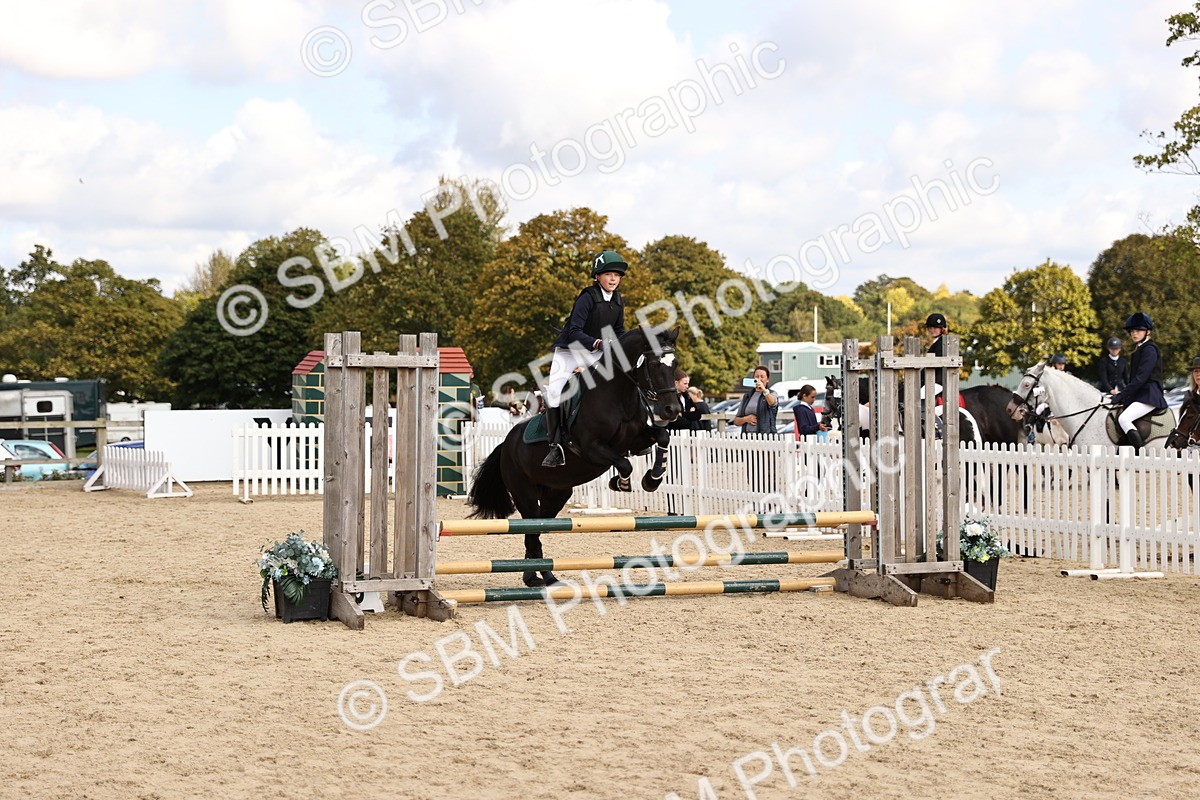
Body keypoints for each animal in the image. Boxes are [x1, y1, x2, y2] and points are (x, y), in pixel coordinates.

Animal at [467, 326, 682, 587]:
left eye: (675, 363)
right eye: (653, 363)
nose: (672, 410)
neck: (618, 394)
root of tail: (506, 444)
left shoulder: (636, 440)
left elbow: (663, 437)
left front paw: (653, 478)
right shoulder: (592, 448)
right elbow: (625, 464)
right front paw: (620, 483)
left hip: (556, 494)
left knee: (537, 529)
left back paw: (542, 575)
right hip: (525, 495)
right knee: (531, 530)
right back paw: (538, 577)